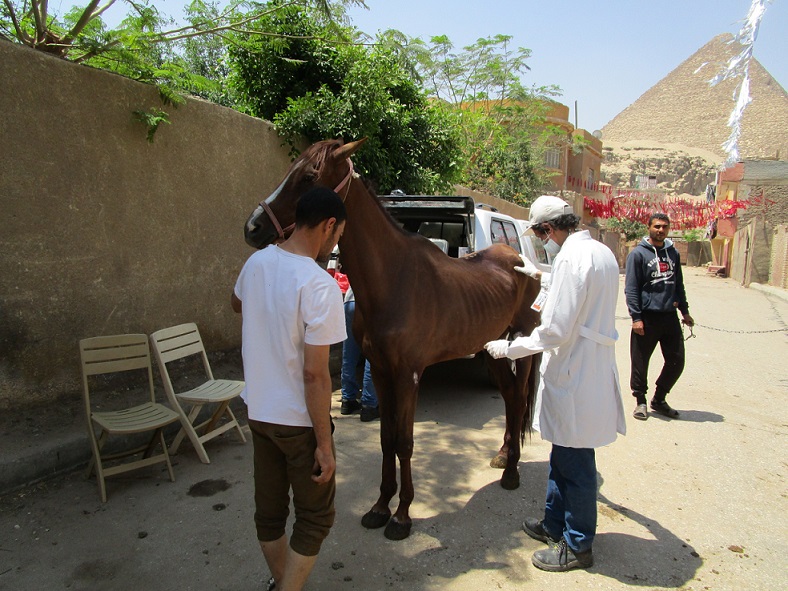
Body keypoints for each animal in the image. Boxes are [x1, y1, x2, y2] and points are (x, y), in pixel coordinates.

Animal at [246, 139, 540, 540]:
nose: (253, 227)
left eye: (308, 177)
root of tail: (518, 258)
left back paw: (511, 473)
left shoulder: (408, 376)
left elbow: (405, 442)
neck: (392, 279)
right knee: (510, 398)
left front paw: (402, 516)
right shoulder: (382, 372)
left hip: (520, 345)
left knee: (519, 400)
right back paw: (502, 457)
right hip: (493, 349)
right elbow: (386, 440)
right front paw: (380, 507)